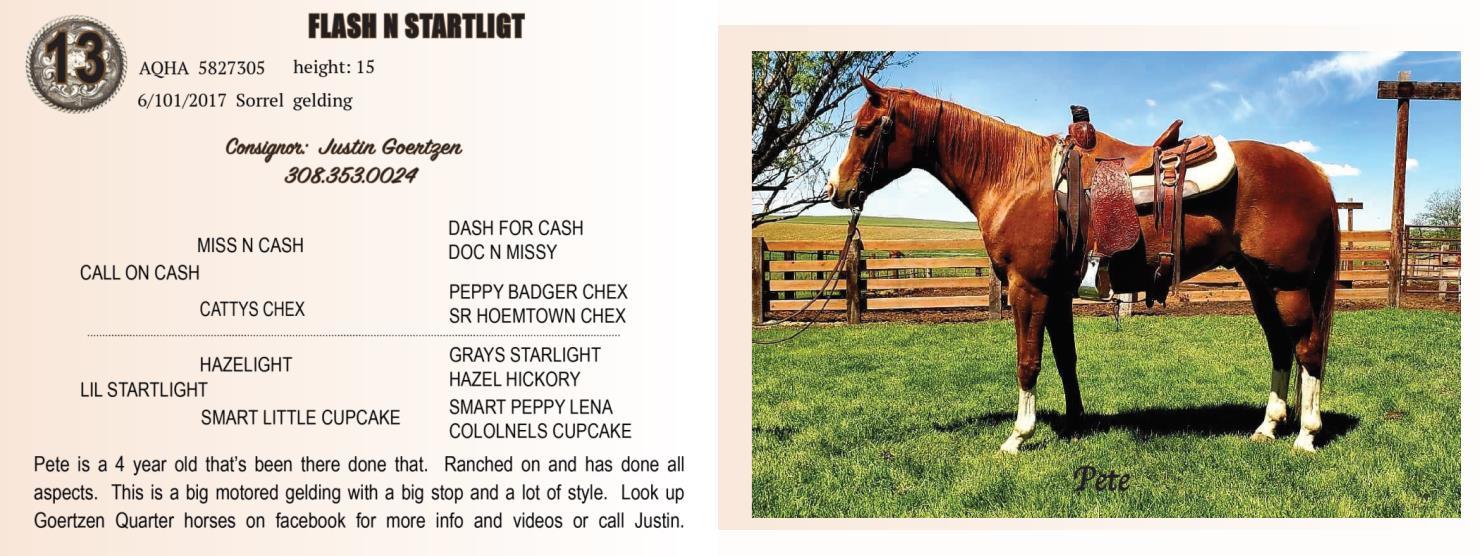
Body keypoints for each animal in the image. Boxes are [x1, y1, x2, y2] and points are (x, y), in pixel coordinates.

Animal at [825, 75, 1338, 453]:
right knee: (1280, 346)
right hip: (1259, 282)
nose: (837, 190)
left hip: (1288, 285)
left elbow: (1028, 361)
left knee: (1308, 349)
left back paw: (1305, 435)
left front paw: (1019, 436)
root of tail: (1317, 173)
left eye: (865, 129)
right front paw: (1075, 423)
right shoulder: (1054, 293)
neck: (1018, 179)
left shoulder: (1028, 288)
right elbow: (1064, 358)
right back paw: (1267, 427)